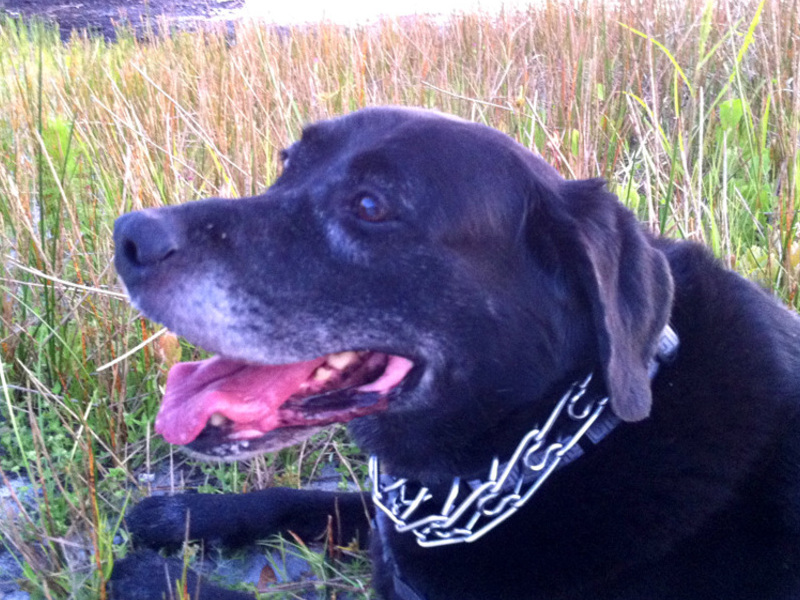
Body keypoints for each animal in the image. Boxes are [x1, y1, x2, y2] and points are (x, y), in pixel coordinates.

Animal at [111, 109, 800, 600]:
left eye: (371, 205)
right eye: (287, 164)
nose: (129, 237)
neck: (564, 439)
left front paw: (149, 577)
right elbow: (313, 498)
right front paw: (183, 514)